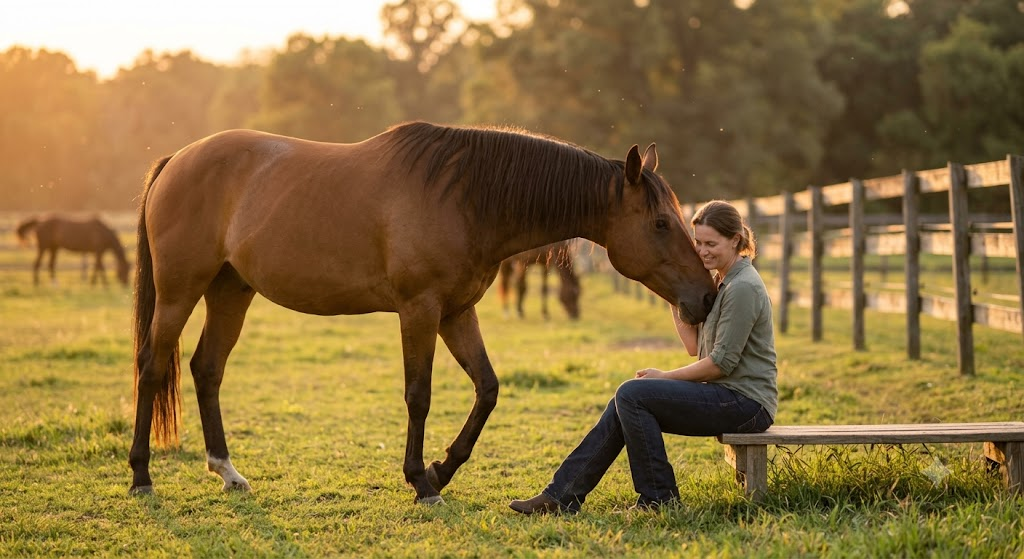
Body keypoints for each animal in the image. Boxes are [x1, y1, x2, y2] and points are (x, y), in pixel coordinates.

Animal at [129, 121, 718, 505]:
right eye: (661, 223)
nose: (707, 297)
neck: (466, 198)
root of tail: (176, 160)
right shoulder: (419, 310)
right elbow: (420, 395)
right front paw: (420, 481)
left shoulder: (457, 313)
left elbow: (488, 388)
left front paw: (441, 470)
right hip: (180, 292)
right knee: (153, 368)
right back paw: (141, 476)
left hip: (231, 291)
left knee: (206, 369)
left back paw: (227, 472)